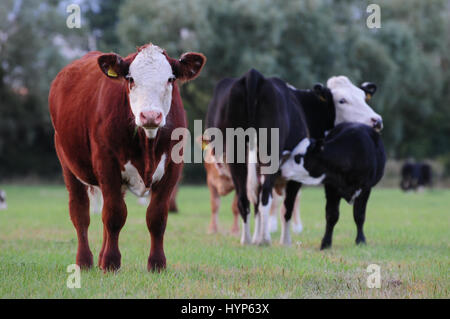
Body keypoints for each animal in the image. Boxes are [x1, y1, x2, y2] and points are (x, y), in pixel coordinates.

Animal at [49, 43, 206, 272]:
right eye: (130, 79)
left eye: (170, 79)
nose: (150, 116)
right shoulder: (107, 165)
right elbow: (115, 215)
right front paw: (111, 262)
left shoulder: (172, 169)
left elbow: (156, 217)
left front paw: (157, 264)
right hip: (68, 165)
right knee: (81, 214)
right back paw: (84, 261)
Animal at [284, 122, 384, 250]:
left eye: (298, 157)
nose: (281, 169)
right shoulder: (331, 188)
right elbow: (331, 216)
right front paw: (326, 243)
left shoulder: (365, 189)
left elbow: (359, 216)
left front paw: (360, 240)